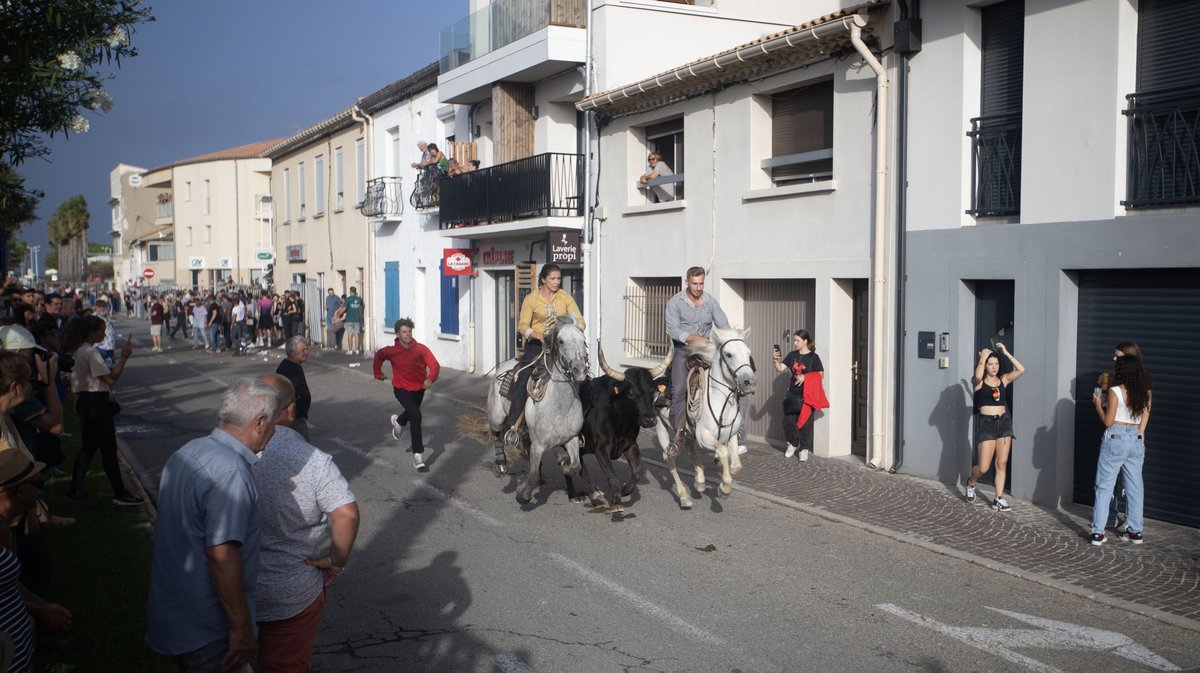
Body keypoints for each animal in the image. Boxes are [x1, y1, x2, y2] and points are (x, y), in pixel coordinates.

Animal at [482, 316, 585, 503]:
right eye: (561, 341)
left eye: (584, 340)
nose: (580, 369)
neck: (559, 406)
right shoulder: (538, 445)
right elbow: (533, 476)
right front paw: (523, 495)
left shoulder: (571, 439)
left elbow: (574, 465)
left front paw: (564, 463)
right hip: (496, 415)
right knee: (497, 434)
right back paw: (501, 465)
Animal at [657, 326, 758, 508]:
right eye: (729, 354)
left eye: (748, 353)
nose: (750, 382)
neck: (722, 400)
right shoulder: (704, 437)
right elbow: (723, 452)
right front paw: (724, 488)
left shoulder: (731, 435)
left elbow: (736, 465)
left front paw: (722, 472)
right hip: (661, 427)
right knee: (669, 458)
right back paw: (684, 496)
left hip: (689, 433)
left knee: (689, 448)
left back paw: (699, 480)